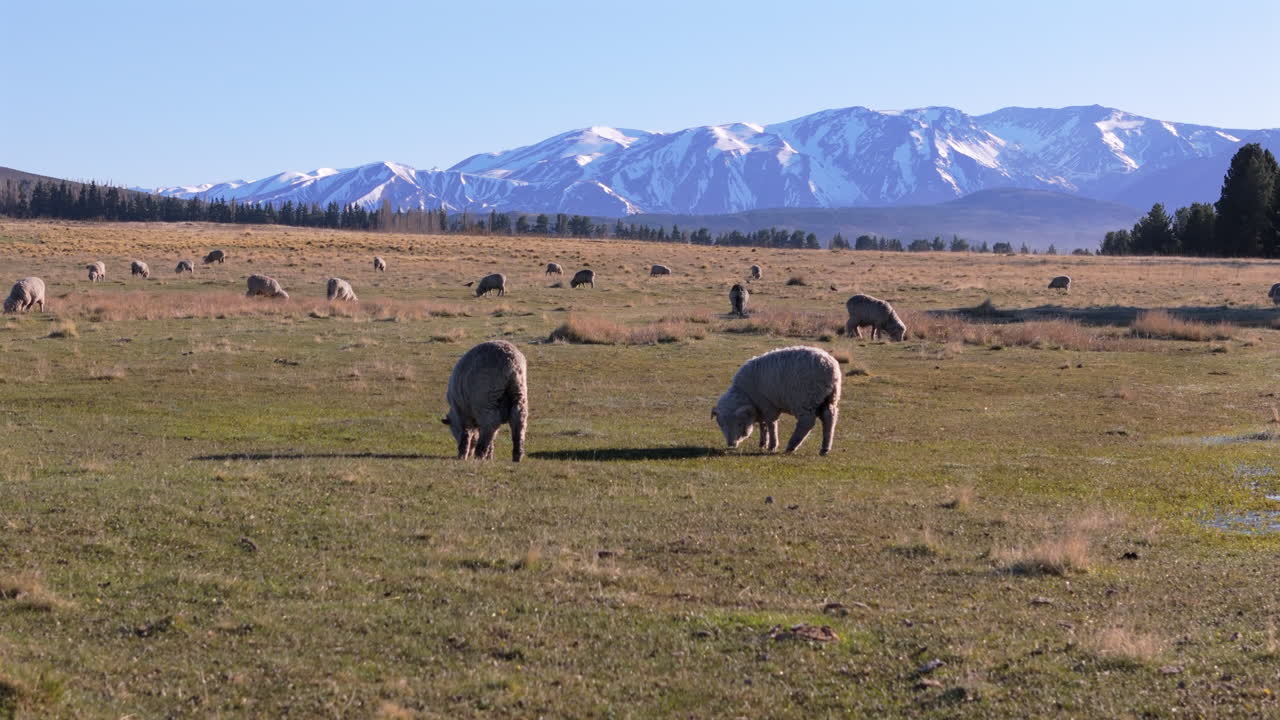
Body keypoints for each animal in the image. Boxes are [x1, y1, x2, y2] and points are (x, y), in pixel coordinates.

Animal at [712, 346, 841, 456]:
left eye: (739, 423)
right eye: (721, 425)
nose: (731, 444)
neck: (745, 393)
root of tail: (830, 367)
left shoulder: (767, 404)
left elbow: (771, 424)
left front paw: (772, 445)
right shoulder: (760, 407)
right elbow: (763, 425)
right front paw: (763, 443)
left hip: (806, 399)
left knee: (807, 422)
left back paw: (791, 446)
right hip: (829, 398)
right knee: (829, 418)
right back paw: (825, 448)